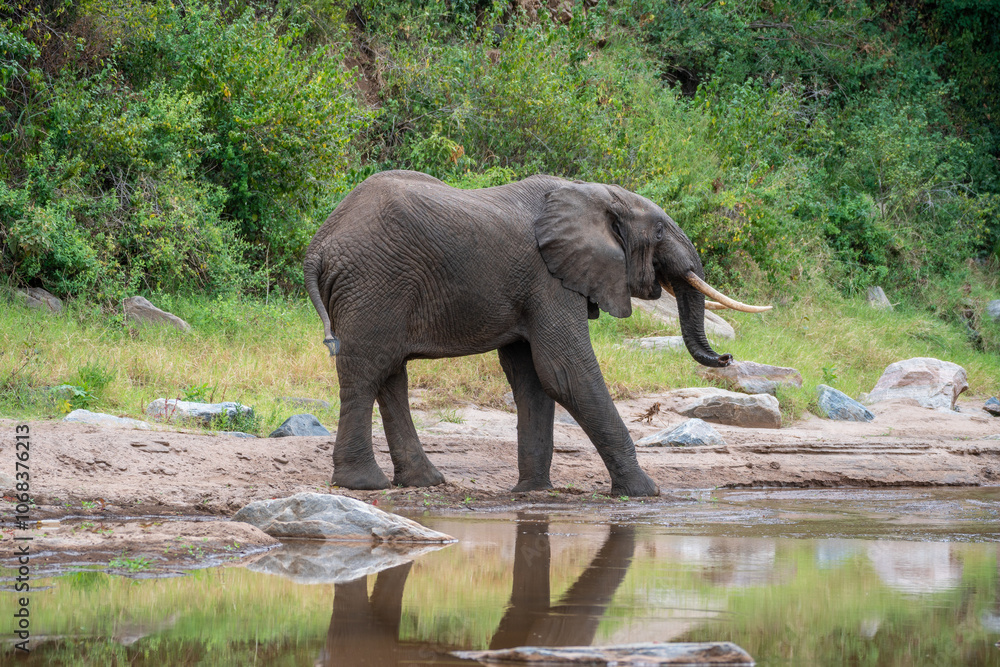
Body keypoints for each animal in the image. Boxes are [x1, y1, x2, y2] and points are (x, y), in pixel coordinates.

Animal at [304, 170, 768, 497]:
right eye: (658, 231)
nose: (727, 359)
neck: (594, 193)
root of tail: (319, 244)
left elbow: (533, 378)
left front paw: (532, 492)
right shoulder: (549, 279)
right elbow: (565, 372)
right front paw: (646, 492)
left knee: (390, 374)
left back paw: (423, 482)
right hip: (374, 282)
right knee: (367, 371)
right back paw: (364, 485)